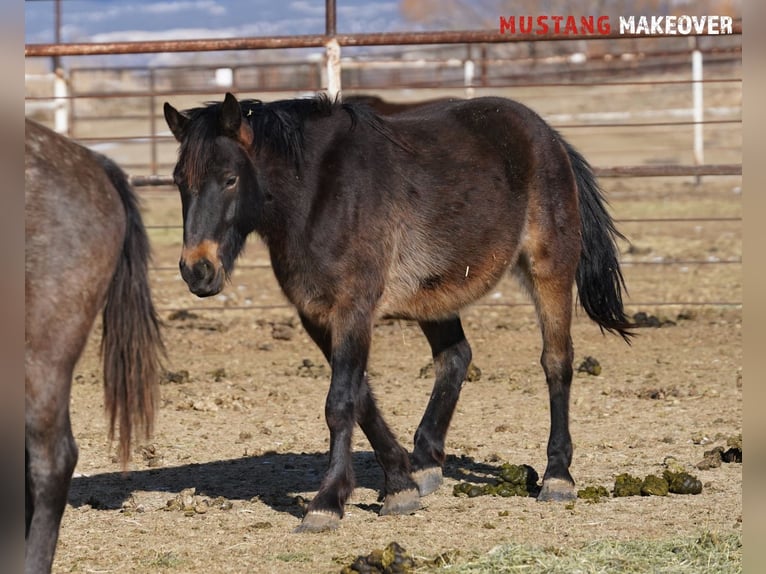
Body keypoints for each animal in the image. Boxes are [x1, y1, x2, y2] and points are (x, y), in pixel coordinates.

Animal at [164, 91, 636, 536]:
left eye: (229, 179)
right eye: (179, 181)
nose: (197, 270)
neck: (318, 193)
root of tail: (549, 136)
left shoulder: (354, 308)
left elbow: (341, 402)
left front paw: (325, 504)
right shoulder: (317, 316)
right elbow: (362, 398)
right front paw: (400, 486)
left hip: (549, 269)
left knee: (556, 362)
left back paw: (557, 477)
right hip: (436, 293)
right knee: (455, 357)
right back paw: (426, 463)